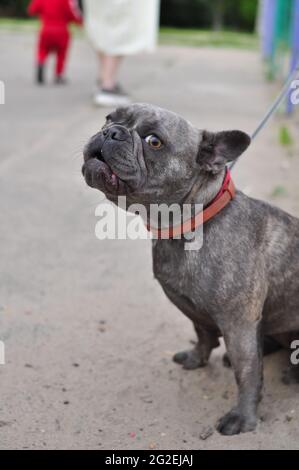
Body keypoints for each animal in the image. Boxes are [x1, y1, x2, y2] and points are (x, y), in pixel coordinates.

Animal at [82, 104, 299, 436]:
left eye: (154, 141)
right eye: (109, 118)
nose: (111, 132)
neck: (187, 226)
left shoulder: (239, 325)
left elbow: (247, 373)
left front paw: (243, 418)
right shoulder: (193, 309)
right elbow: (203, 335)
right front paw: (197, 358)